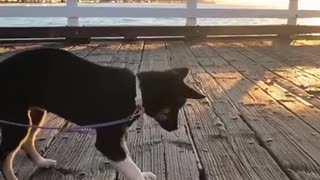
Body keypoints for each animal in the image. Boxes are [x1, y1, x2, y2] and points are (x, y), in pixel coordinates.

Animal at [0, 48, 205, 180]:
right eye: (174, 108)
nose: (175, 128)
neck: (135, 92)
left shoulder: (118, 137)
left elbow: (129, 162)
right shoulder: (108, 142)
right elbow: (131, 168)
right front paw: (140, 175)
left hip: (34, 114)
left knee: (26, 141)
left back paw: (42, 162)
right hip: (16, 119)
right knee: (5, 157)